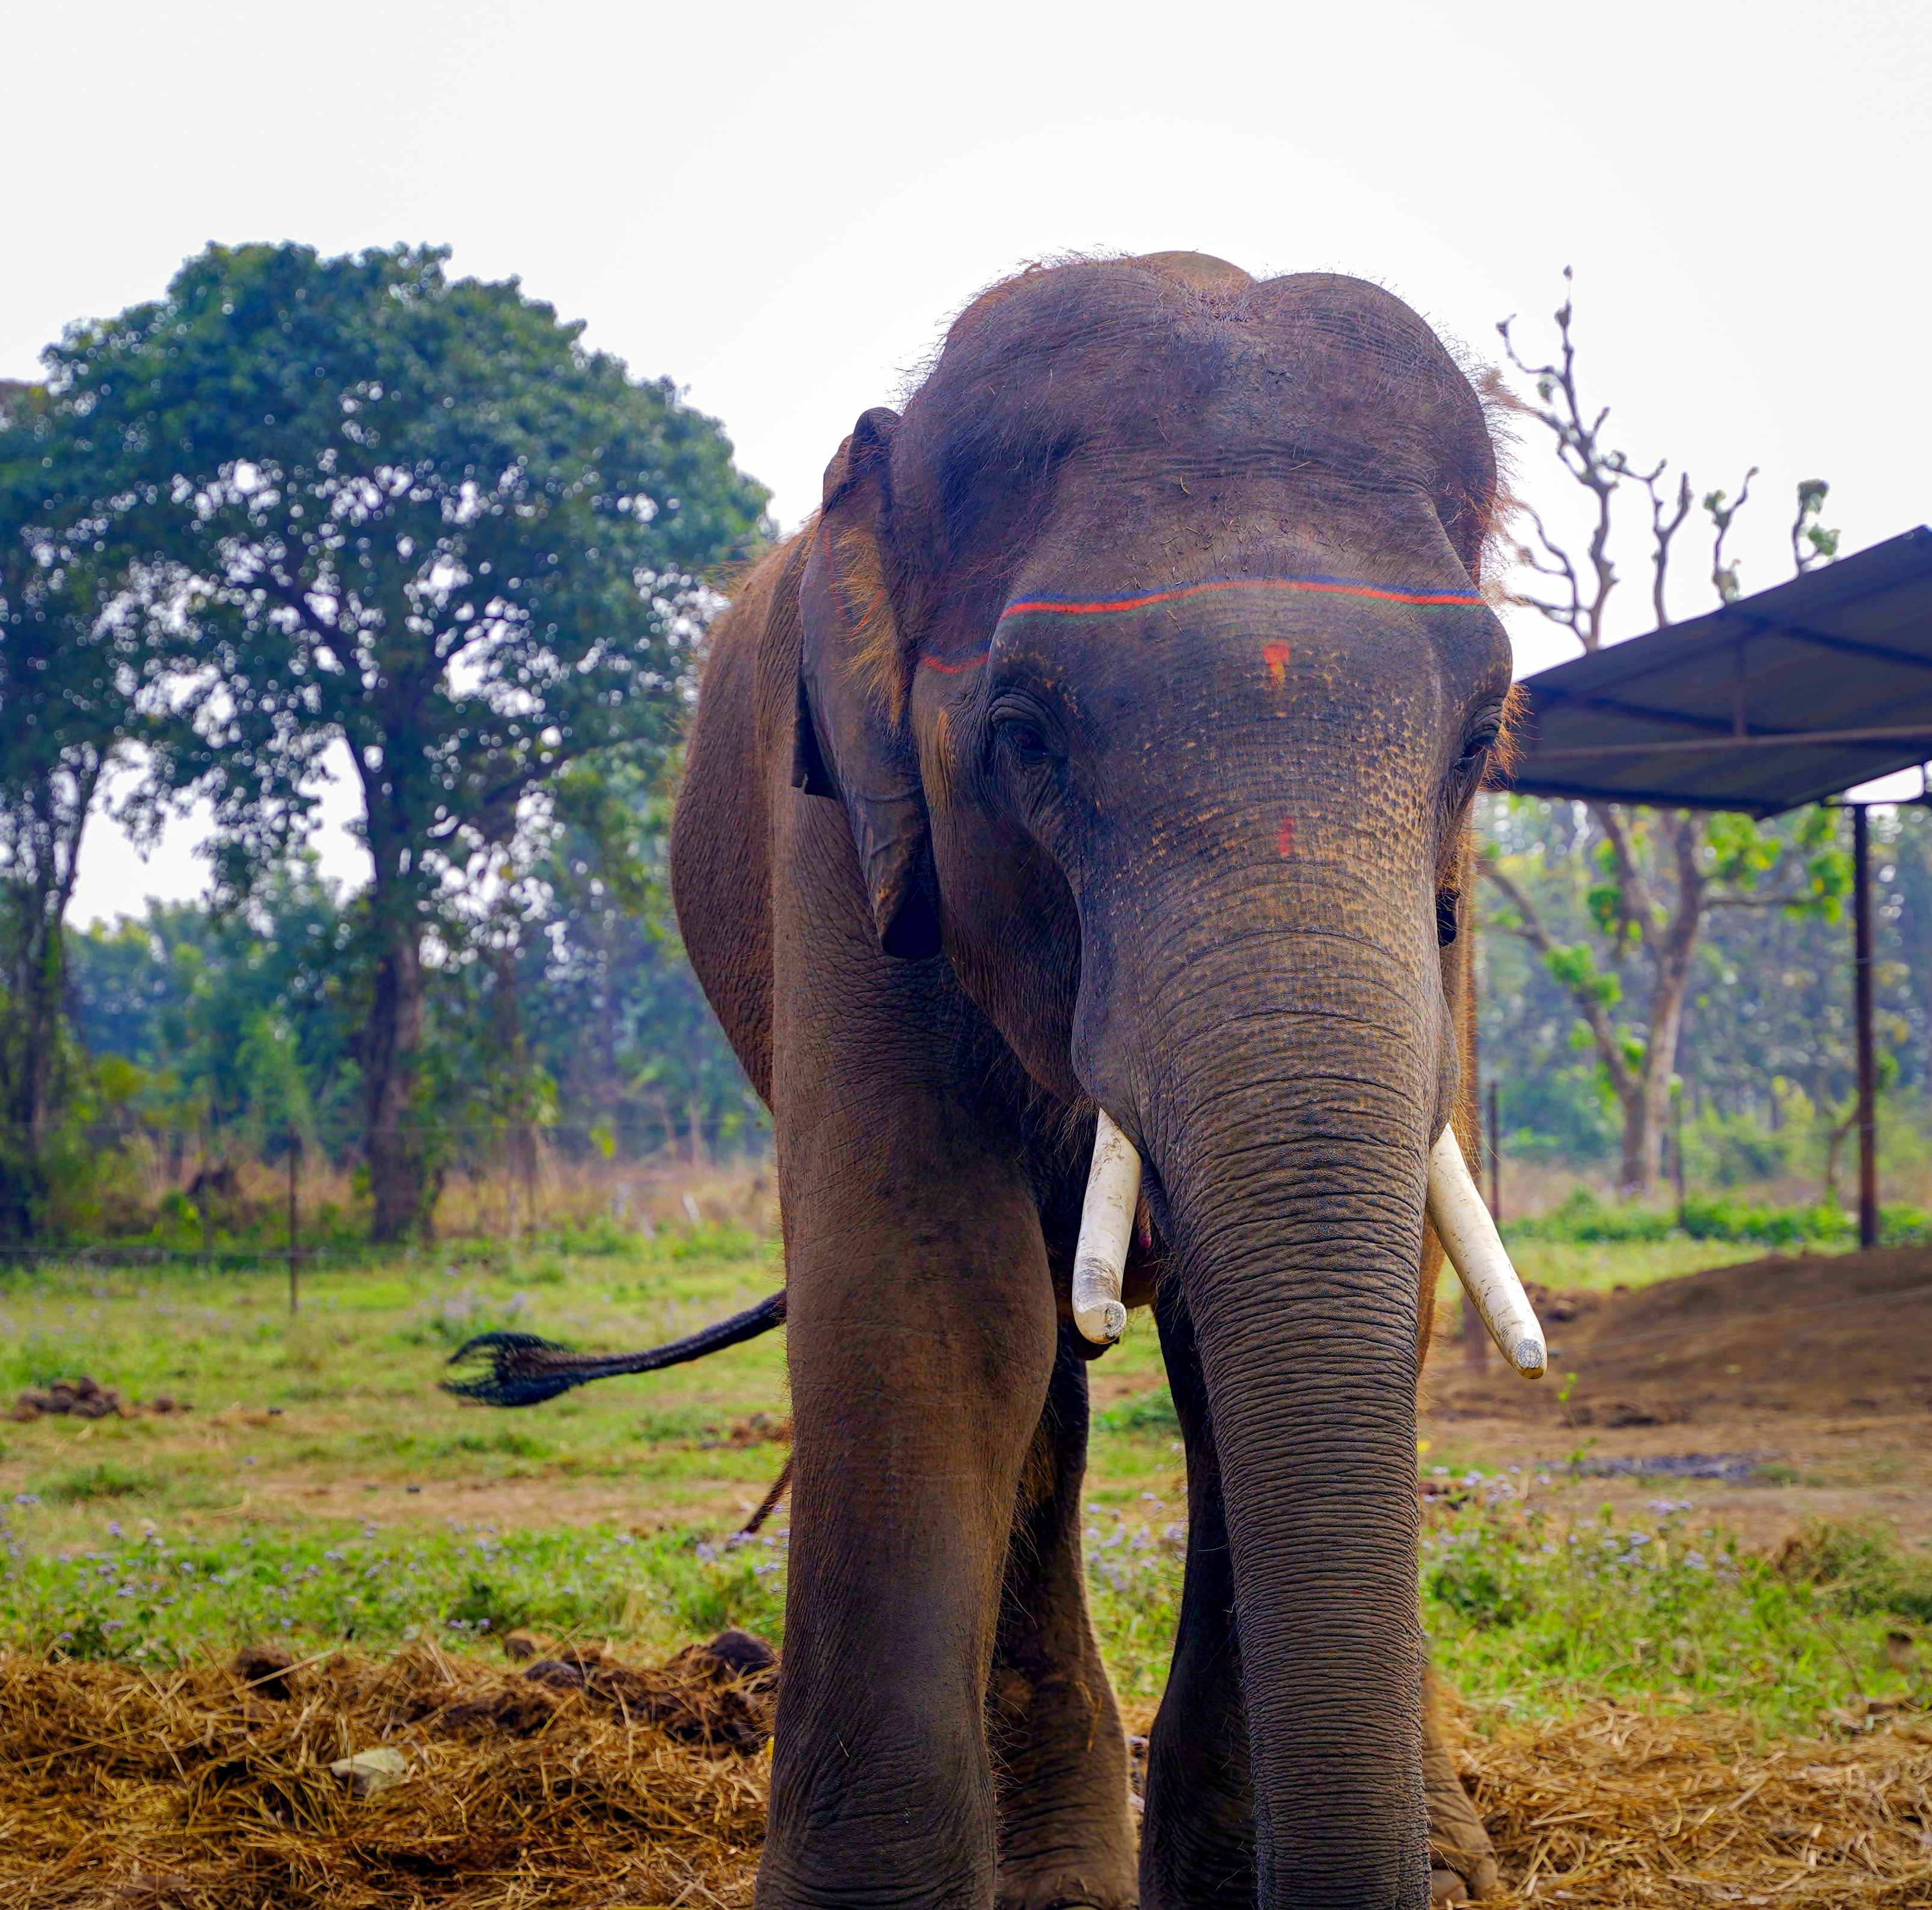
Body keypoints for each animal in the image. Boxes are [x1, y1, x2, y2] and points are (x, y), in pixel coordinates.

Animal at [667, 252, 1536, 1910]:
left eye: (1477, 738)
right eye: (1022, 735)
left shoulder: (1444, 910)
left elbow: (1339, 1298)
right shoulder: (855, 846)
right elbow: (930, 1296)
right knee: (1040, 1389)